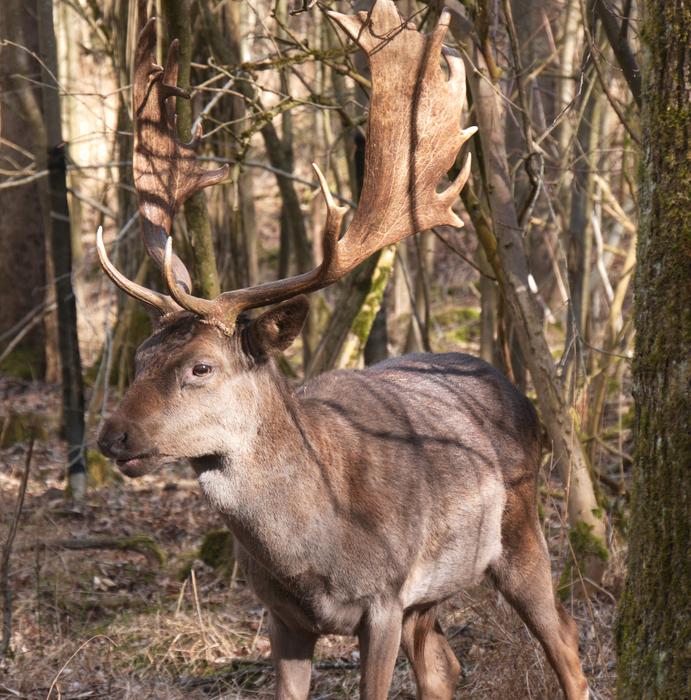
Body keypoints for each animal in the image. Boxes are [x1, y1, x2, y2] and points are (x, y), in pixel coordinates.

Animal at [95, 2, 589, 698]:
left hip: (520, 528)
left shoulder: (382, 599)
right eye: (139, 358)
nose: (113, 435)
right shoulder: (282, 615)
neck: (313, 550)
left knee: (565, 639)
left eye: (200, 366)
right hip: (430, 595)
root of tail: (516, 390)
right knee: (443, 665)